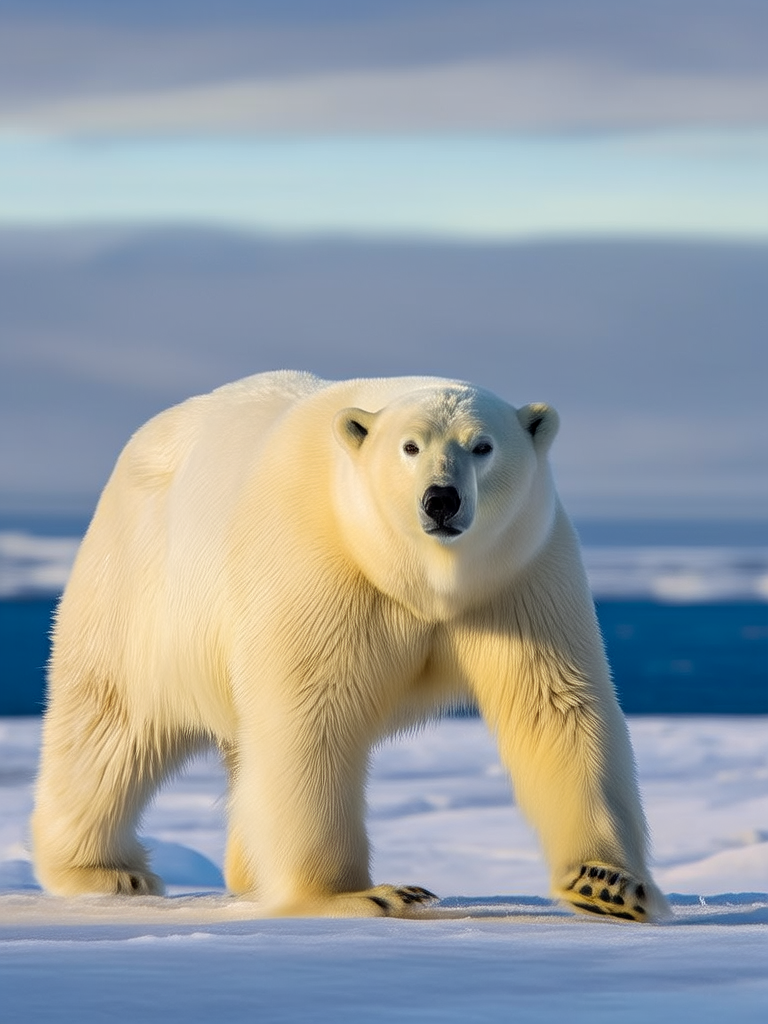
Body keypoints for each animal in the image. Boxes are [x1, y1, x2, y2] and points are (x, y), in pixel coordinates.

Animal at [32, 371, 667, 921]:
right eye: (410, 446)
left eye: (482, 446)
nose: (441, 499)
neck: (417, 574)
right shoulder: (321, 567)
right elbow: (311, 713)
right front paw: (366, 894)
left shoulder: (520, 575)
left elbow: (556, 706)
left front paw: (606, 884)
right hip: (138, 593)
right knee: (109, 727)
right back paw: (106, 871)